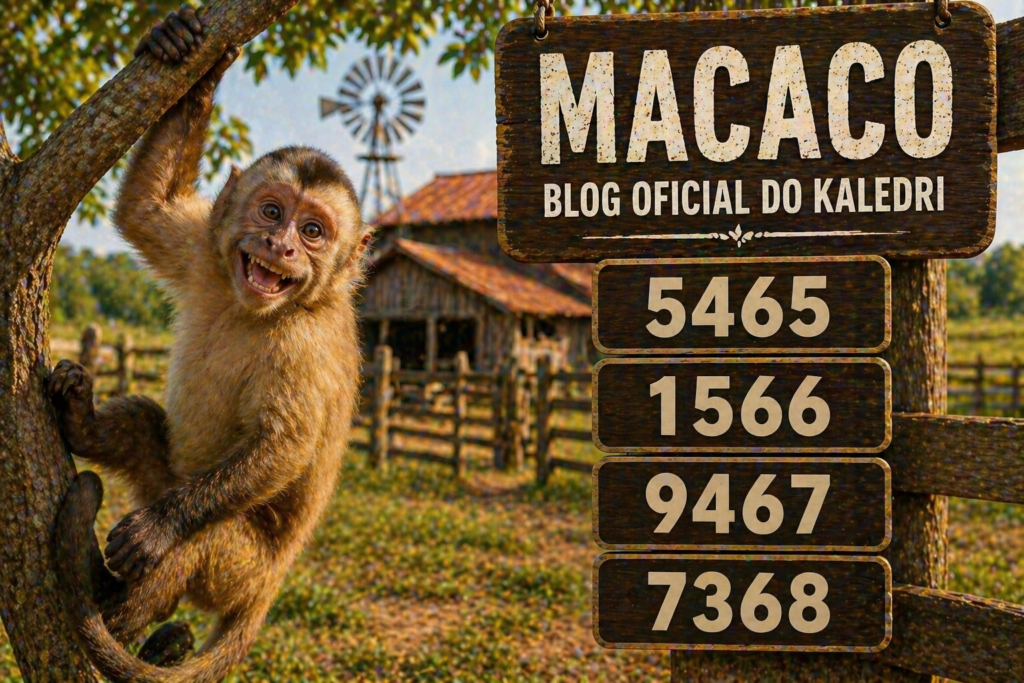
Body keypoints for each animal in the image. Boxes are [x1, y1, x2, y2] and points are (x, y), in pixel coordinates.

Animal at [49, 5, 373, 681]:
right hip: (165, 475)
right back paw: (82, 423)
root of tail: (269, 589)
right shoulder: (206, 249)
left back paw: (113, 609)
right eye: (272, 212)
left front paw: (161, 529)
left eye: (312, 231)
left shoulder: (306, 345)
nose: (280, 248)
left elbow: (284, 447)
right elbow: (146, 210)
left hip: (239, 569)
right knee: (146, 425)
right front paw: (190, 55)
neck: (263, 309)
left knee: (194, 545)